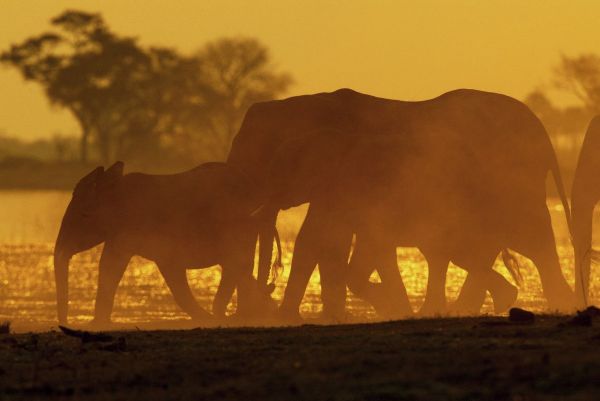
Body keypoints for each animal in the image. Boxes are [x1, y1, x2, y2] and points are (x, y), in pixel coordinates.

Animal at [52, 160, 278, 324]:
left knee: (237, 264)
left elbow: (113, 266)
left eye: (84, 215)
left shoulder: (136, 229)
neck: (115, 189)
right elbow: (114, 266)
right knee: (236, 266)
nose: (67, 323)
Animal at [227, 86, 576, 318]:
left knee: (529, 236)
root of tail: (543, 132)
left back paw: (561, 303)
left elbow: (321, 236)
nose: (264, 297)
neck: (305, 103)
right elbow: (318, 236)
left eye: (257, 155)